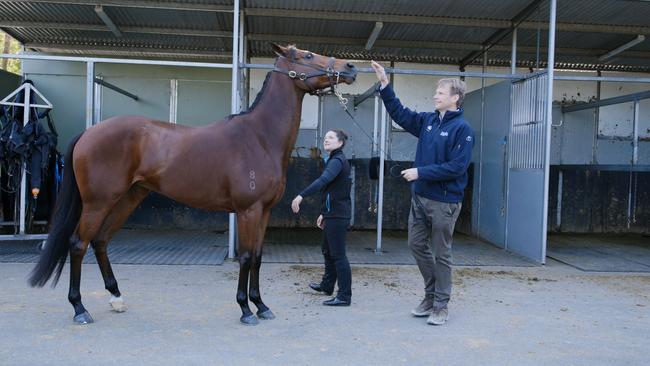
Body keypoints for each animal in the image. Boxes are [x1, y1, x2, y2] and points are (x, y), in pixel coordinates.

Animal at [29, 43, 354, 326]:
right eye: (307, 55)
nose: (349, 67)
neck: (260, 137)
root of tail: (88, 133)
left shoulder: (263, 212)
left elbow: (258, 258)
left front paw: (262, 306)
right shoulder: (248, 211)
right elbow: (246, 257)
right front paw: (245, 309)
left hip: (128, 198)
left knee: (100, 241)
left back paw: (117, 298)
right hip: (98, 203)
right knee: (78, 244)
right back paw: (79, 309)